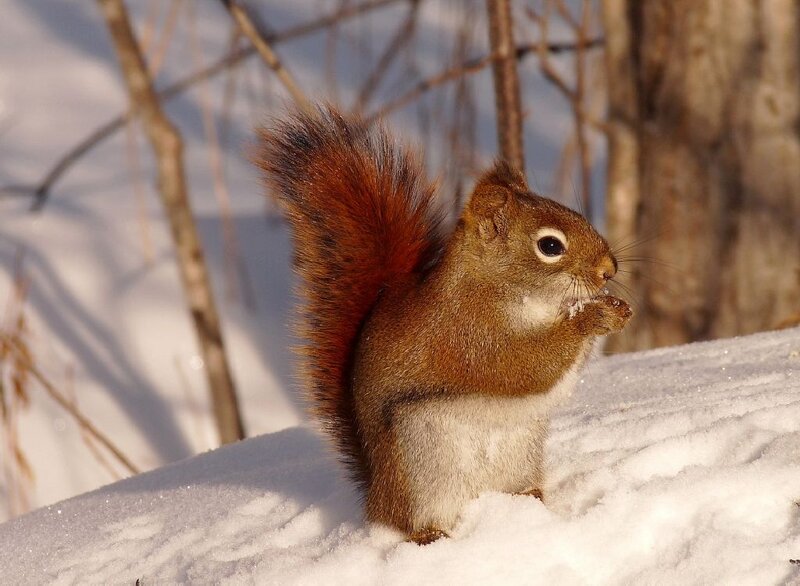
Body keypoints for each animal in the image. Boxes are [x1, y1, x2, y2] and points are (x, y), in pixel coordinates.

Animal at [257, 106, 632, 545]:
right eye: (550, 246)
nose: (609, 270)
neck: (502, 289)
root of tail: (377, 498)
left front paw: (615, 309)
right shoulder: (467, 336)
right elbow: (523, 367)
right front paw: (591, 317)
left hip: (518, 455)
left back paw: (530, 502)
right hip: (421, 464)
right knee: (411, 522)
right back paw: (430, 535)